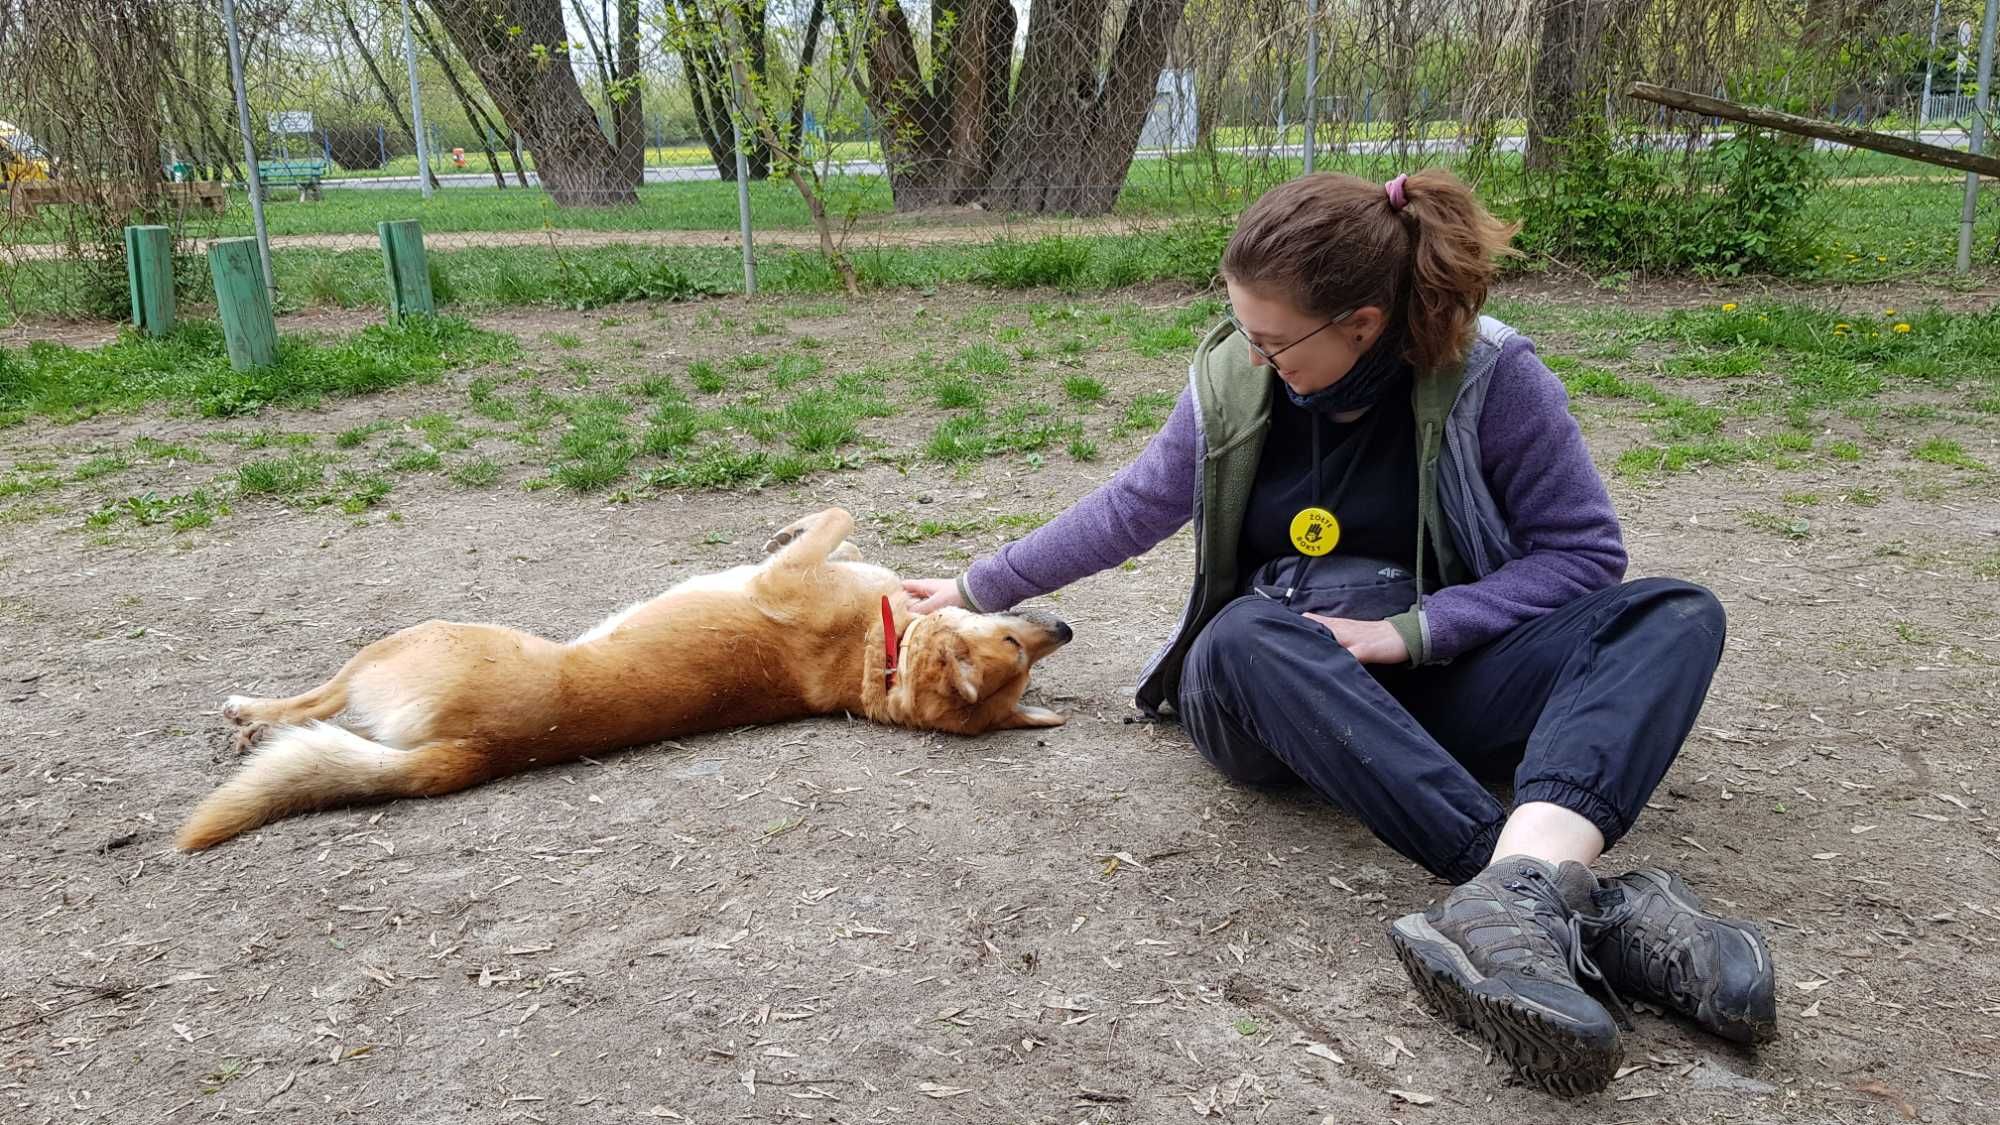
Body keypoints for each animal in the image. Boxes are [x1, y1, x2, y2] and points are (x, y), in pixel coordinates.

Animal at [180, 504, 1072, 844]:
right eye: (1020, 648)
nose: (1063, 627)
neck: (872, 660)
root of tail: (478, 751)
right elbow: (841, 528)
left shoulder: (787, 578)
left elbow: (835, 514)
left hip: (413, 637)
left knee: (315, 701)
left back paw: (249, 712)